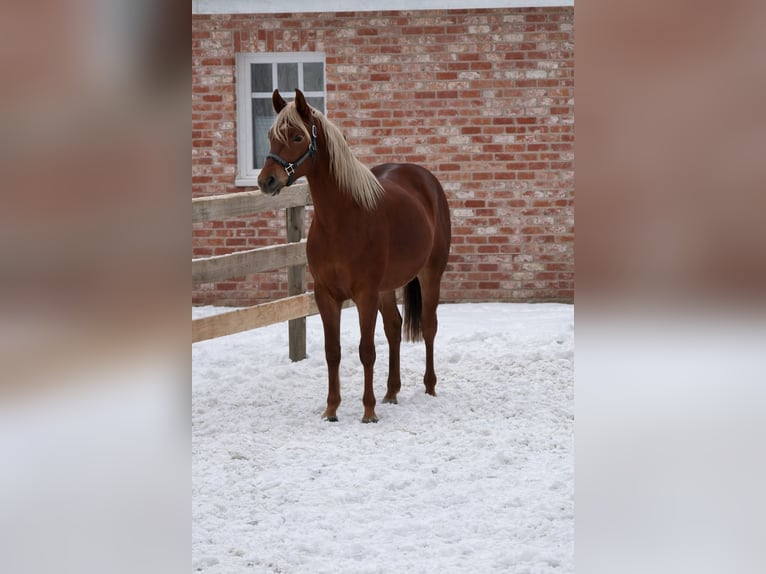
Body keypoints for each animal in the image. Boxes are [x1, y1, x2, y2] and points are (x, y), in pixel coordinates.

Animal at [258, 89, 451, 423]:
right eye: (271, 136)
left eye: (296, 137)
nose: (266, 181)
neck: (342, 220)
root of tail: (426, 181)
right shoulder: (326, 295)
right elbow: (332, 351)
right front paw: (331, 409)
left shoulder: (365, 294)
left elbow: (366, 351)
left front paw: (368, 411)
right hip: (387, 287)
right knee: (394, 328)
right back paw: (391, 392)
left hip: (430, 274)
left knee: (428, 327)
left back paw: (428, 388)